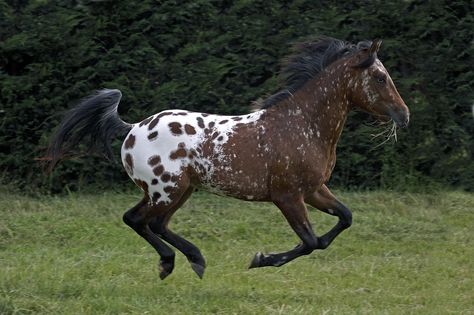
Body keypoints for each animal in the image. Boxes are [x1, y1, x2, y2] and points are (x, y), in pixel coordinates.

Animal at [47, 35, 408, 280]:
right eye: (380, 77)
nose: (403, 116)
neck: (302, 125)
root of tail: (132, 127)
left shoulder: (314, 190)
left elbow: (343, 219)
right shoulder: (288, 196)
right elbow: (311, 241)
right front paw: (261, 260)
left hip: (179, 191)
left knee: (154, 223)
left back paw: (189, 260)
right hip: (166, 191)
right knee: (137, 219)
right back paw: (177, 262)